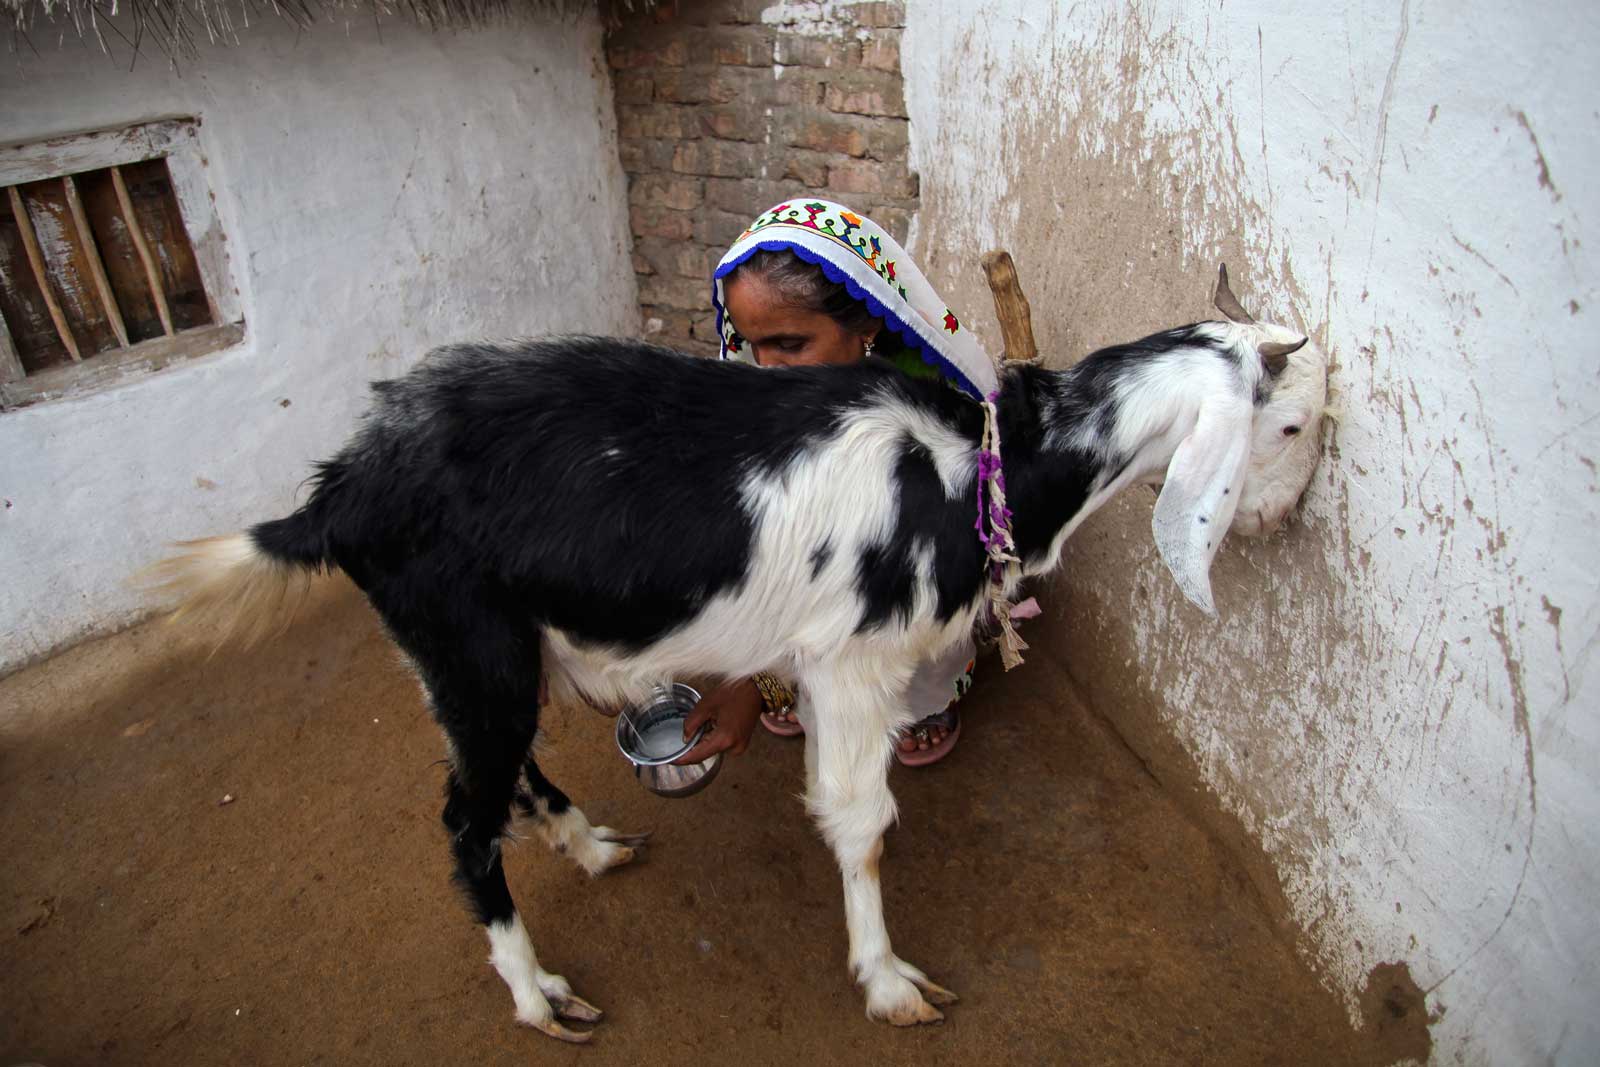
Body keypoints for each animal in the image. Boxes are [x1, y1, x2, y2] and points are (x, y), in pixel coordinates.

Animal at [152, 268, 1324, 1043]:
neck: (983, 464)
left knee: (502, 774)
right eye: (1291, 427)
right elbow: (860, 820)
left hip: (485, 651)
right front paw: (888, 979)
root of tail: (344, 484)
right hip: (466, 640)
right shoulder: (850, 658)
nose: (1283, 524)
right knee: (460, 817)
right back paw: (537, 992)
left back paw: (589, 845)